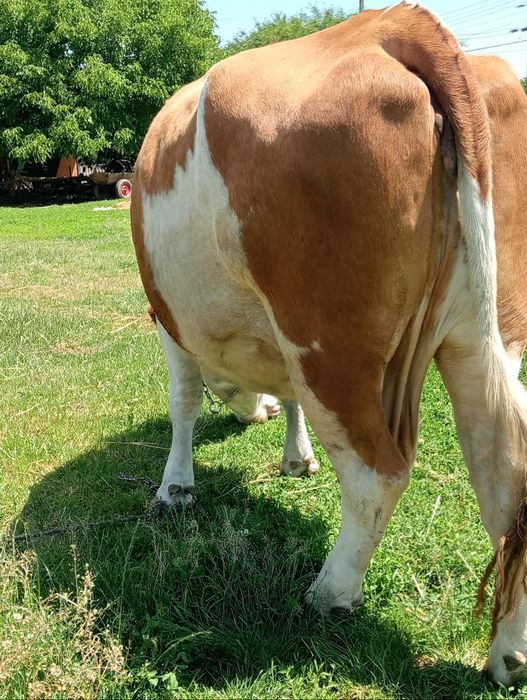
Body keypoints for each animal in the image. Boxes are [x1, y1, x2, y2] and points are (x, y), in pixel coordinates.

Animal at [131, 2, 527, 685]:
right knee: (505, 465)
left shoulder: (169, 319)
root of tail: (391, 26)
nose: (254, 413)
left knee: (378, 474)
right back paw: (509, 654)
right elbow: (287, 400)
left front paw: (175, 488)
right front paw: (296, 454)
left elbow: (183, 402)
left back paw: (330, 592)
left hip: (329, 345)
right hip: (486, 331)